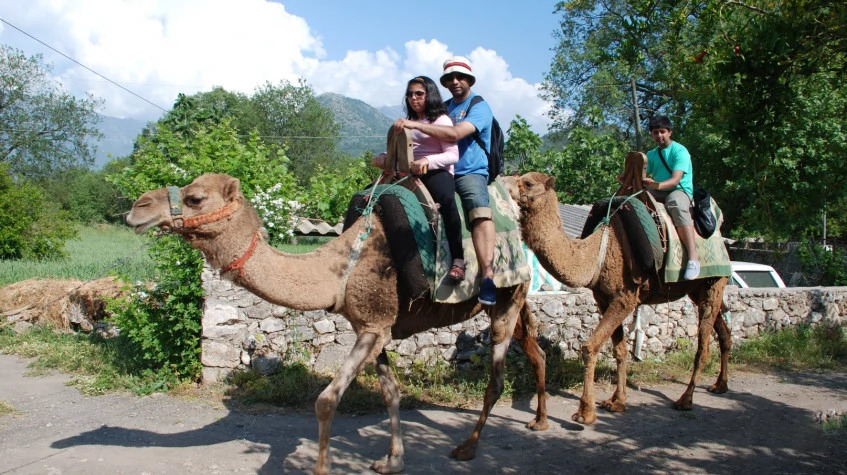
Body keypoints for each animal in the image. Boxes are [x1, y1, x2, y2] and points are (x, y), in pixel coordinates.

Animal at [126, 173, 548, 475]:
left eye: (195, 198)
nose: (136, 207)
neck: (341, 269)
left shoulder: (373, 326)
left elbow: (326, 401)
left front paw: (324, 468)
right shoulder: (373, 326)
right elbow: (391, 393)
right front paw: (393, 461)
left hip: (507, 294)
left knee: (496, 378)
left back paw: (468, 447)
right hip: (514, 300)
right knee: (535, 349)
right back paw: (540, 422)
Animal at [510, 171, 730, 425]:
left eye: (528, 183)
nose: (507, 183)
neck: (598, 253)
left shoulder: (625, 298)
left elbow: (590, 347)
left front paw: (585, 412)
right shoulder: (604, 299)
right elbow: (620, 350)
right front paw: (616, 402)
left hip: (716, 281)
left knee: (703, 345)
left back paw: (685, 400)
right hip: (698, 291)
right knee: (723, 331)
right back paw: (720, 385)